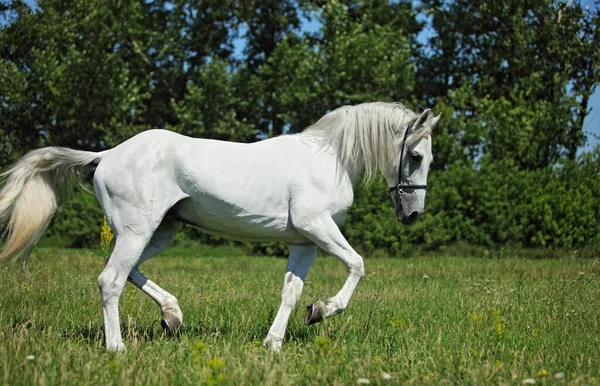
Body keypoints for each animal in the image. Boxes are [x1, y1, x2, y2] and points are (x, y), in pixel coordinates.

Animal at [1, 101, 440, 352]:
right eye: (416, 156)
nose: (412, 214)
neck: (329, 159)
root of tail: (105, 155)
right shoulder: (317, 226)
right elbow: (358, 265)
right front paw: (323, 310)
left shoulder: (305, 242)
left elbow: (291, 293)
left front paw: (275, 343)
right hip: (138, 230)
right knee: (110, 280)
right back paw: (117, 349)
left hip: (159, 231)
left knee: (127, 272)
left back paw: (172, 316)